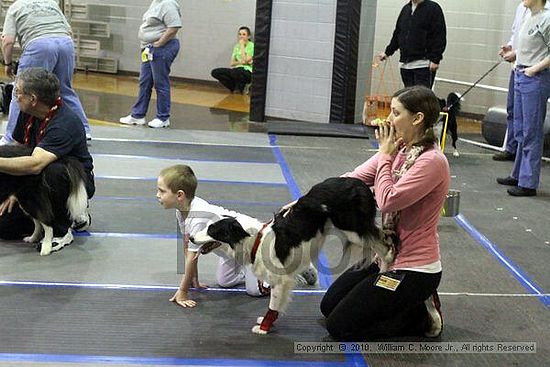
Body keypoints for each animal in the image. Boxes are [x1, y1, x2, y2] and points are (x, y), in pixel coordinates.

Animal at [192, 177, 394, 334]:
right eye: (207, 227)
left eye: (212, 231)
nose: (192, 238)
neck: (254, 241)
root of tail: (358, 183)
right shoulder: (284, 280)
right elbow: (278, 305)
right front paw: (269, 322)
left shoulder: (280, 279)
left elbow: (273, 305)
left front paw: (264, 328)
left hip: (352, 228)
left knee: (382, 242)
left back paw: (387, 265)